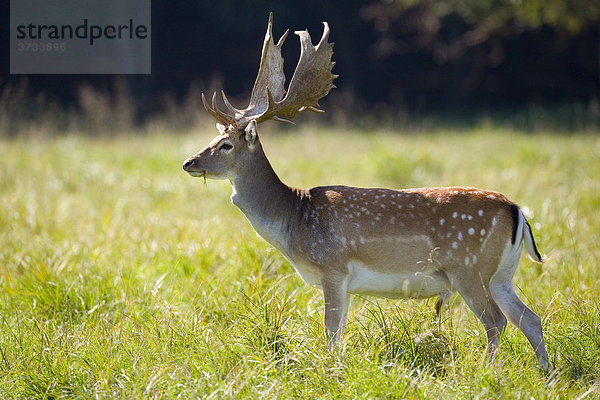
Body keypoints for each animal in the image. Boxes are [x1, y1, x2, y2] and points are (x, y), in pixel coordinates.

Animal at [180, 13, 552, 372]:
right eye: (213, 138)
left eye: (226, 145)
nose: (188, 162)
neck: (294, 220)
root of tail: (518, 211)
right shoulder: (344, 281)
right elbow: (339, 331)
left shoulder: (333, 267)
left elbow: (330, 332)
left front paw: (330, 370)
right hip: (501, 274)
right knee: (530, 319)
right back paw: (546, 374)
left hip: (468, 267)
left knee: (496, 321)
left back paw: (484, 372)